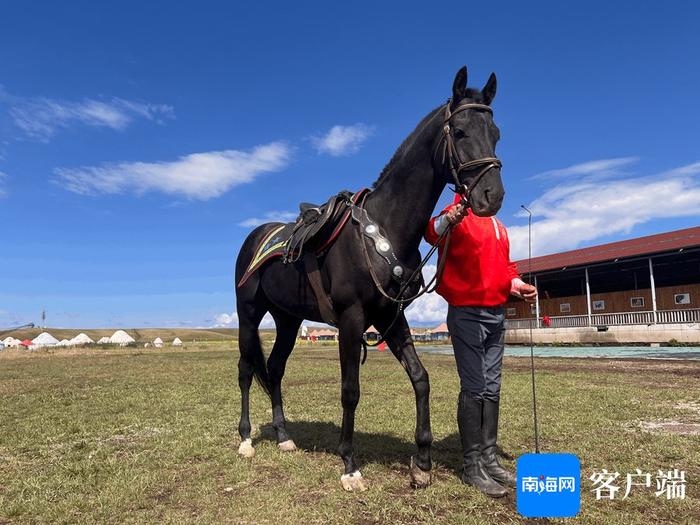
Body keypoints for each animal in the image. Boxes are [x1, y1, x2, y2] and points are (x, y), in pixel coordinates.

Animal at [234, 66, 504, 492]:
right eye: (460, 131)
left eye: (496, 133)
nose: (492, 196)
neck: (386, 228)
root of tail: (255, 237)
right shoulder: (351, 319)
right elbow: (350, 391)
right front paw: (349, 464)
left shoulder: (390, 317)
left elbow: (421, 378)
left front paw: (422, 462)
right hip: (248, 314)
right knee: (246, 371)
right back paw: (246, 440)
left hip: (288, 320)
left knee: (274, 369)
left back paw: (284, 437)